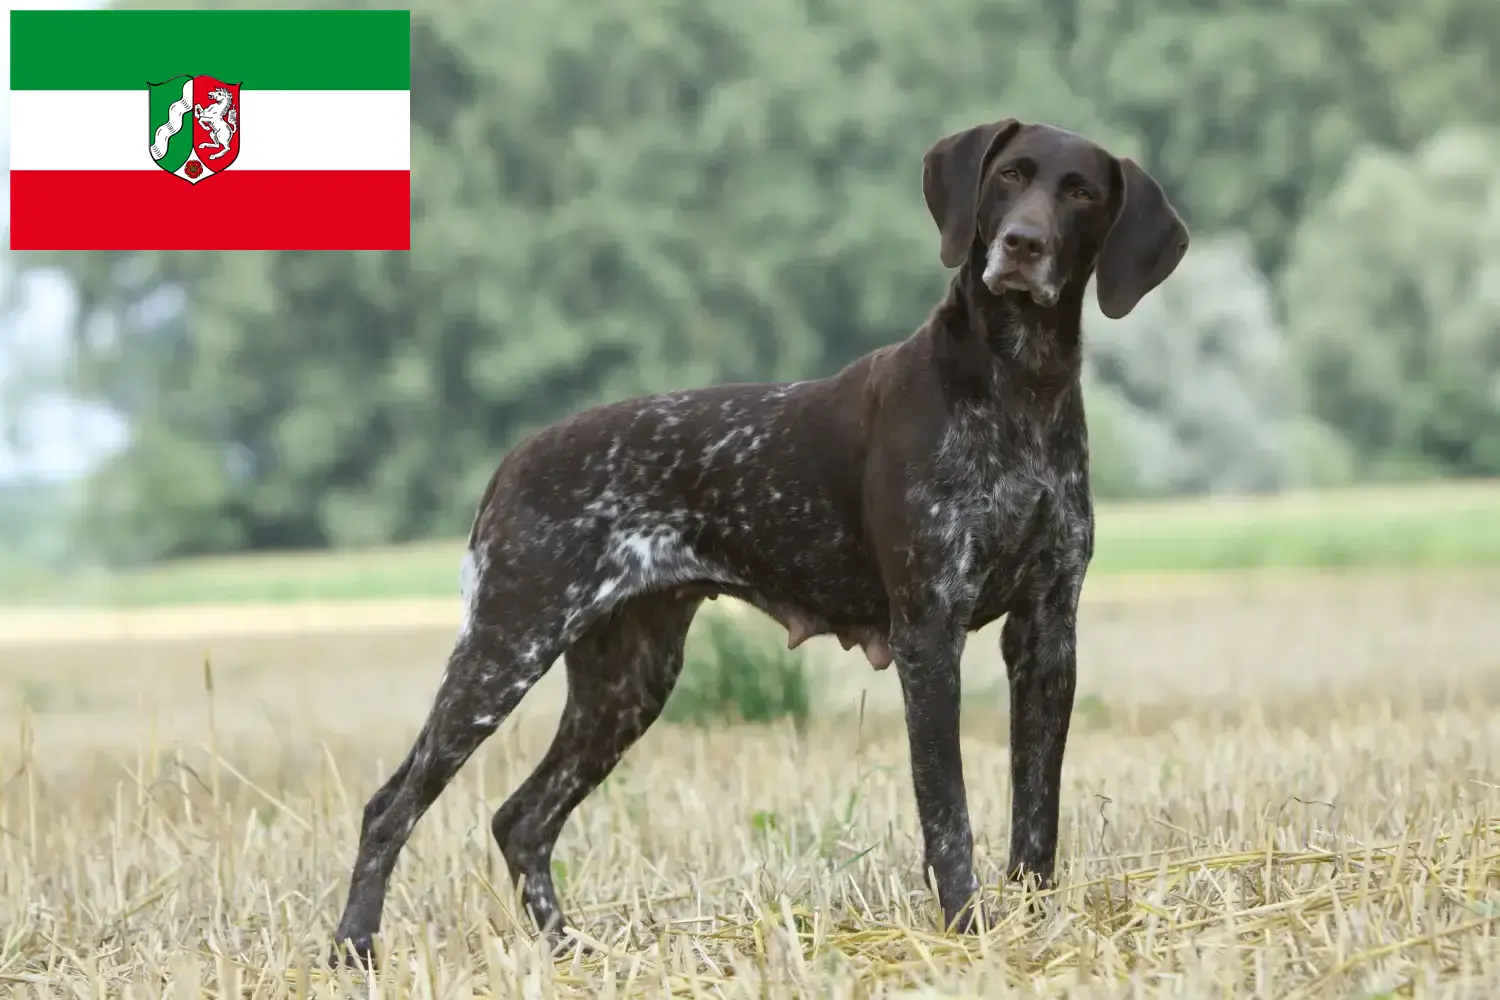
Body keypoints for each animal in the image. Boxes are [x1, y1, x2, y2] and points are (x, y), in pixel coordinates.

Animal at [328, 119, 1182, 971]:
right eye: (1009, 175)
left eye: (1080, 192)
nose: (1022, 244)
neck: (1019, 387)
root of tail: (515, 459)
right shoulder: (929, 630)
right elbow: (949, 813)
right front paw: (965, 930)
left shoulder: (1046, 632)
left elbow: (1036, 813)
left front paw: (1035, 930)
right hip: (507, 648)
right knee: (391, 805)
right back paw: (353, 950)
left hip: (627, 679)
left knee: (522, 819)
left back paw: (571, 950)